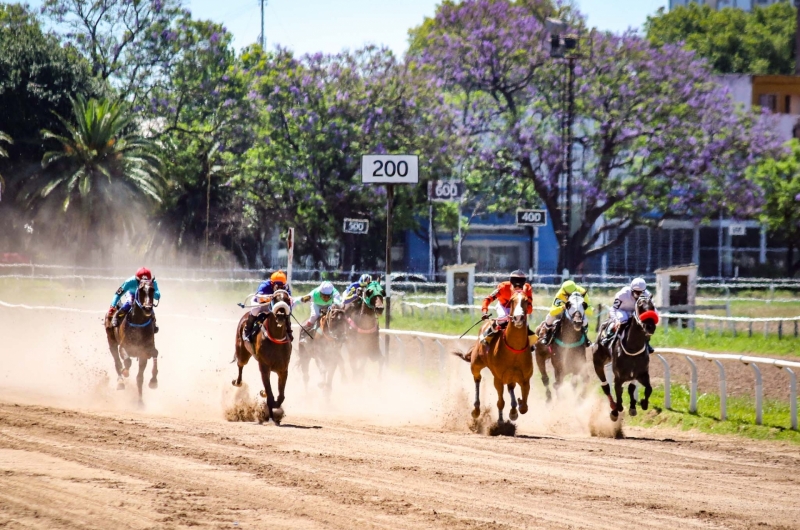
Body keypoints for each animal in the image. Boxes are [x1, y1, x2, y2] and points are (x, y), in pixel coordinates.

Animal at [104, 276, 158, 404]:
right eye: (141, 289)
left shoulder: (144, 352)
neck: (138, 322)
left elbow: (140, 378)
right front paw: (125, 372)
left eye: (153, 290)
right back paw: (120, 381)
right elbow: (127, 361)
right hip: (111, 342)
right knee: (117, 362)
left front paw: (140, 401)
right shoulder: (123, 347)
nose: (148, 308)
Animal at [233, 286, 292, 422]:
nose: (281, 315)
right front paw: (270, 414)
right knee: (240, 364)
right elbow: (270, 393)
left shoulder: (283, 369)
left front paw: (275, 407)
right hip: (242, 352)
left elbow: (281, 396)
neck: (276, 339)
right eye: (275, 298)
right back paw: (238, 382)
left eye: (287, 300)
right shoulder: (264, 367)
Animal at [454, 290, 536, 422]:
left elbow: (524, 407)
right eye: (512, 300)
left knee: (510, 387)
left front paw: (516, 407)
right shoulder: (498, 378)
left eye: (526, 301)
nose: (518, 318)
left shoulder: (525, 379)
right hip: (476, 363)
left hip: (510, 377)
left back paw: (513, 408)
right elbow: (500, 402)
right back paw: (476, 409)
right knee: (477, 379)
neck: (514, 351)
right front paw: (501, 420)